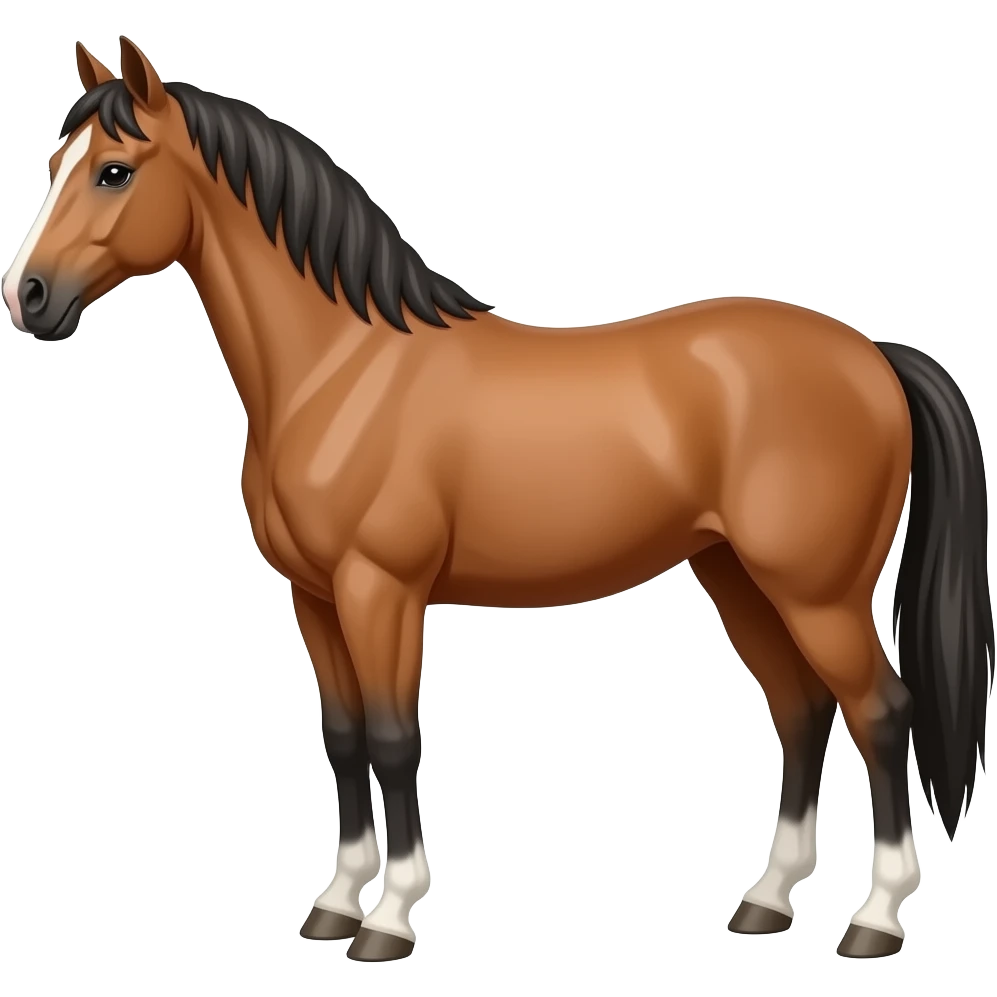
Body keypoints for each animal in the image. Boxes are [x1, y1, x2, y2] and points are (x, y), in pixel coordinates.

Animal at [3, 35, 993, 962]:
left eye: (114, 170)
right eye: (54, 166)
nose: (30, 297)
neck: (340, 369)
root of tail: (872, 356)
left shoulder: (380, 590)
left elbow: (395, 740)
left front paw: (389, 920)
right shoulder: (314, 596)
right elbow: (345, 738)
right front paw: (334, 904)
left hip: (816, 592)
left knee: (880, 713)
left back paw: (874, 917)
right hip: (737, 576)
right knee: (799, 710)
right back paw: (765, 900)